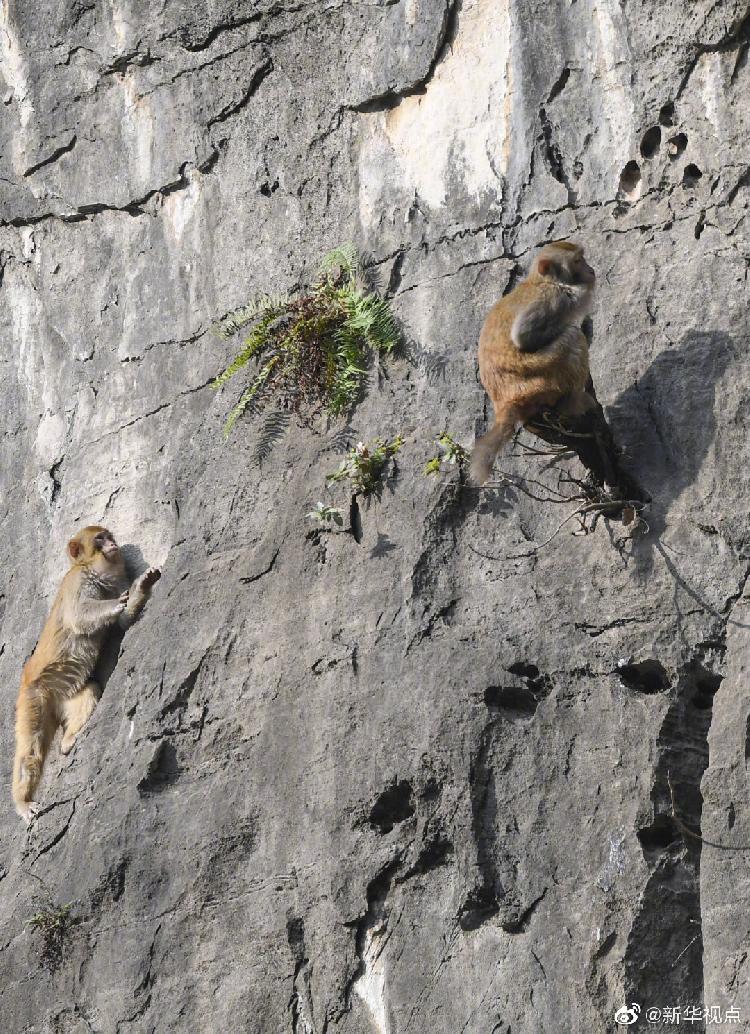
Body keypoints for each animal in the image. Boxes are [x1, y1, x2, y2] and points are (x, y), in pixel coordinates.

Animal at [10, 525, 160, 823]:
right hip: (33, 699)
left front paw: (141, 587)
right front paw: (115, 604)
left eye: (109, 535)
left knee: (88, 691)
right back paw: (22, 801)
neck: (95, 569)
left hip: (66, 698)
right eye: (99, 538)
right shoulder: (77, 582)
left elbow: (123, 622)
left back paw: (69, 740)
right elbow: (79, 616)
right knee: (30, 747)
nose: (112, 543)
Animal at [471, 239, 595, 485]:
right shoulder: (553, 298)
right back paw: (573, 403)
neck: (543, 280)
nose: (591, 270)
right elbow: (524, 336)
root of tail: (504, 404)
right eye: (577, 261)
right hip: (543, 381)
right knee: (572, 336)